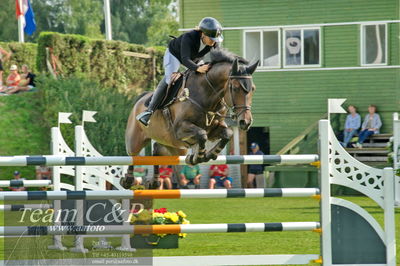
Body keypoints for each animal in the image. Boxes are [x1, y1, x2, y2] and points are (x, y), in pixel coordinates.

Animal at [120, 48, 258, 189]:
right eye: (235, 88)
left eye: (253, 89)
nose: (246, 122)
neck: (206, 94)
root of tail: (140, 99)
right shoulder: (180, 129)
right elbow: (202, 134)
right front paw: (198, 157)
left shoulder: (214, 130)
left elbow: (227, 134)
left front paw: (209, 154)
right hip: (136, 139)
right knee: (133, 155)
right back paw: (128, 180)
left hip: (174, 146)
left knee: (157, 151)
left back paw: (155, 182)